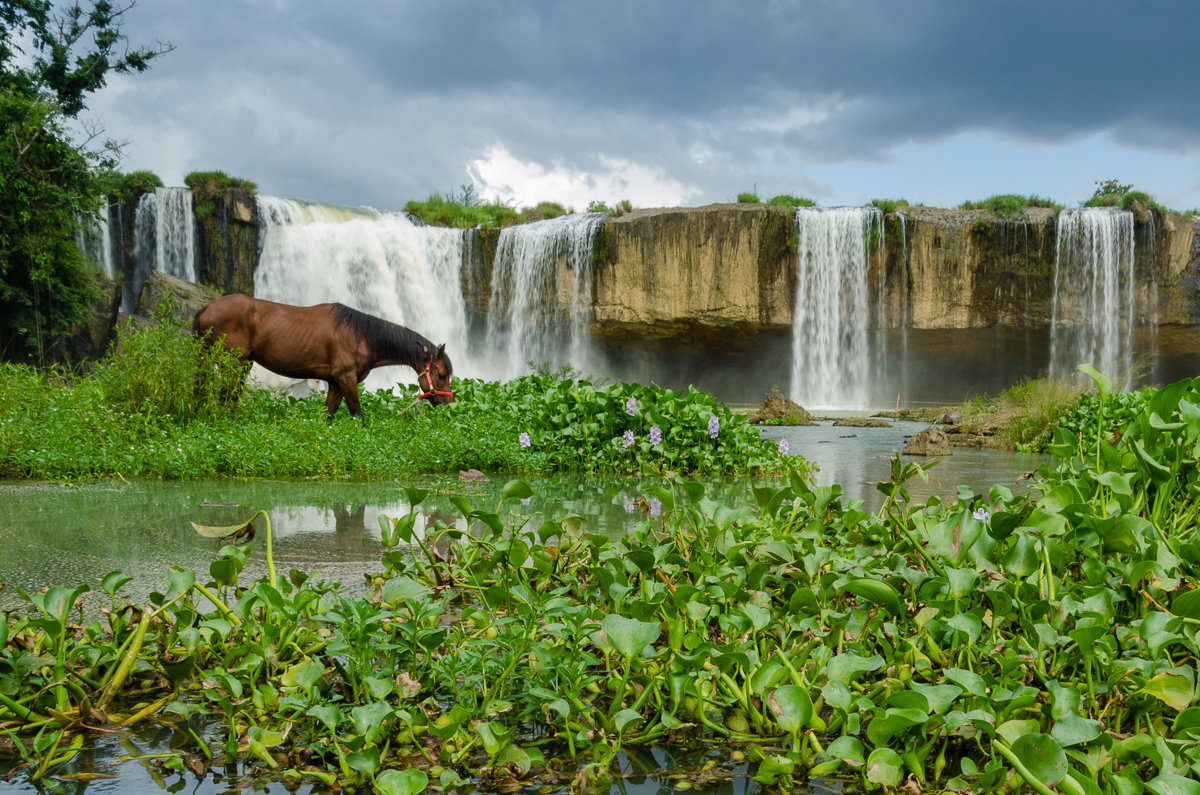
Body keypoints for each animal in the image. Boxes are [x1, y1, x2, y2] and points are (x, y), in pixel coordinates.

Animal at [192, 295, 453, 422]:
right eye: (441, 374)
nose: (449, 405)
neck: (361, 335)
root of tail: (206, 309)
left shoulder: (335, 383)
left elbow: (328, 416)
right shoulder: (346, 378)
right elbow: (358, 415)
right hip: (233, 363)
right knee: (226, 398)